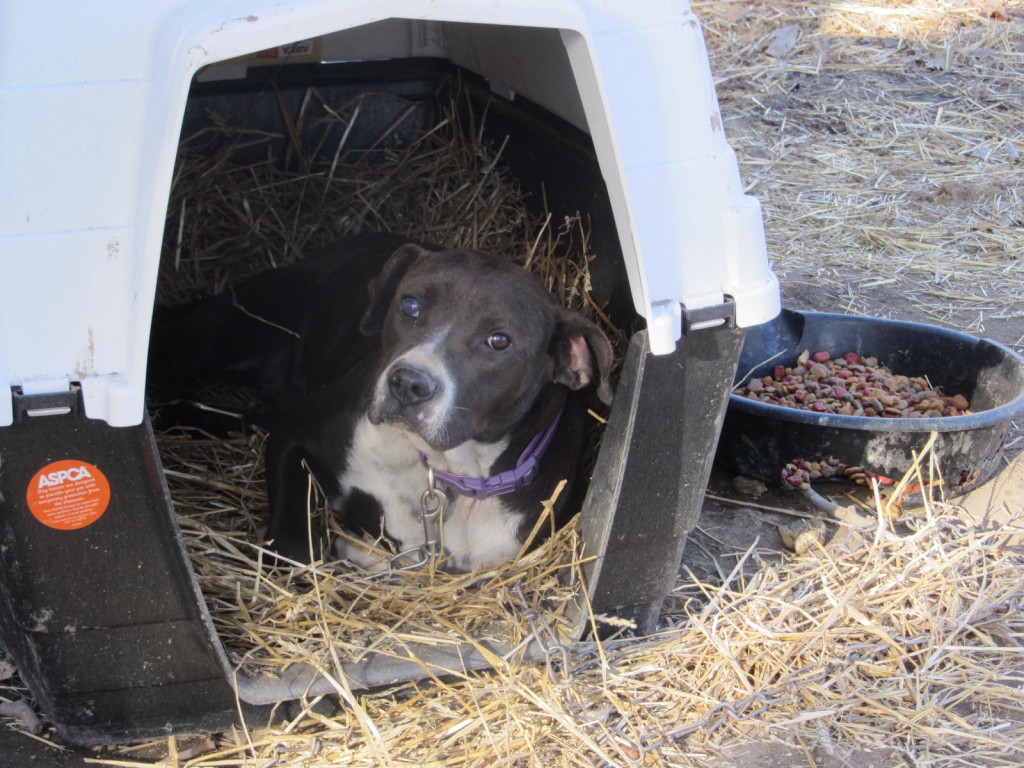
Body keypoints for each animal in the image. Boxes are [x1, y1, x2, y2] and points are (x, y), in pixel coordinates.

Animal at [150, 234, 610, 573]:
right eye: (410, 304)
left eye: (499, 340)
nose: (408, 383)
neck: (449, 470)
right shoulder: (294, 434)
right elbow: (296, 547)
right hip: (217, 332)